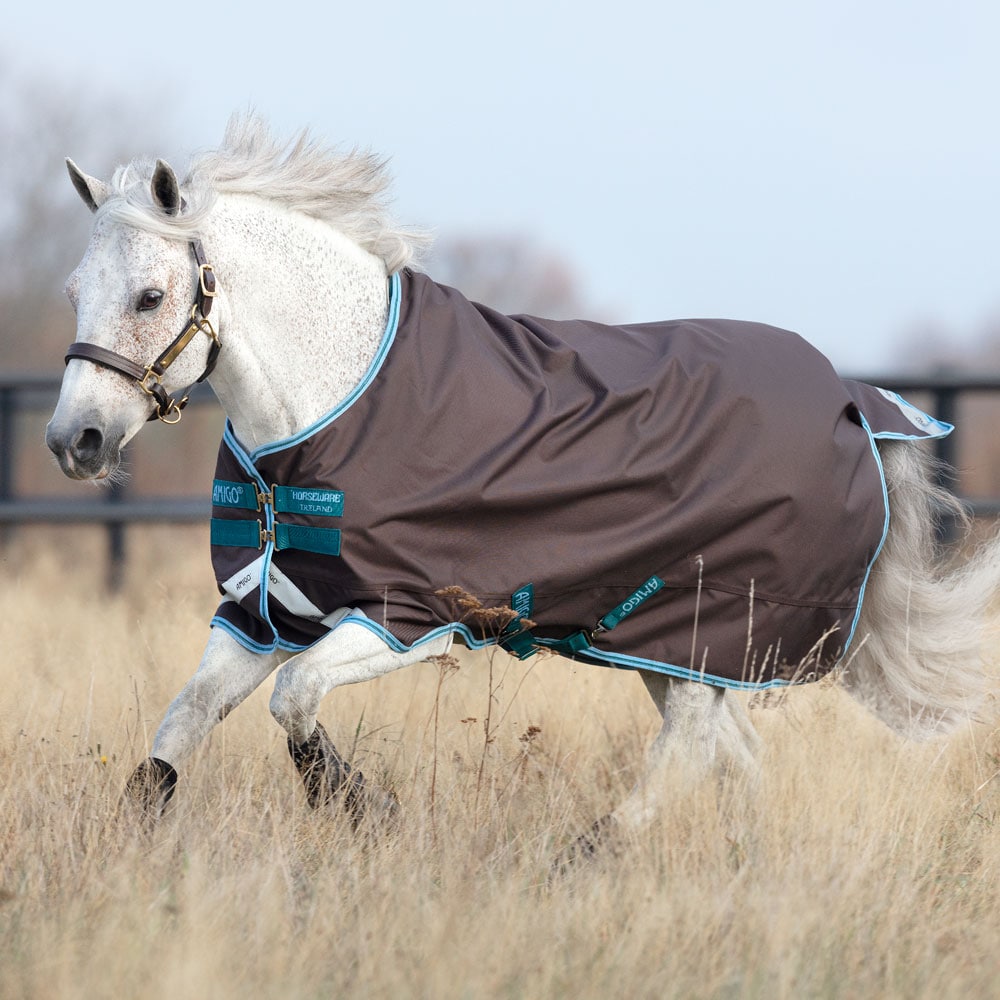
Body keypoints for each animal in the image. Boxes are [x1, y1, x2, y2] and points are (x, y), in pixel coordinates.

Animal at [47, 115, 1000, 852]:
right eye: (74, 290)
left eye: (149, 295)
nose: (73, 441)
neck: (335, 405)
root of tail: (855, 401)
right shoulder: (261, 612)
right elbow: (183, 723)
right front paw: (130, 845)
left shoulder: (407, 618)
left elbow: (296, 700)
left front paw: (363, 809)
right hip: (659, 641)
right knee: (729, 753)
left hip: (708, 628)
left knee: (690, 748)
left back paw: (591, 852)